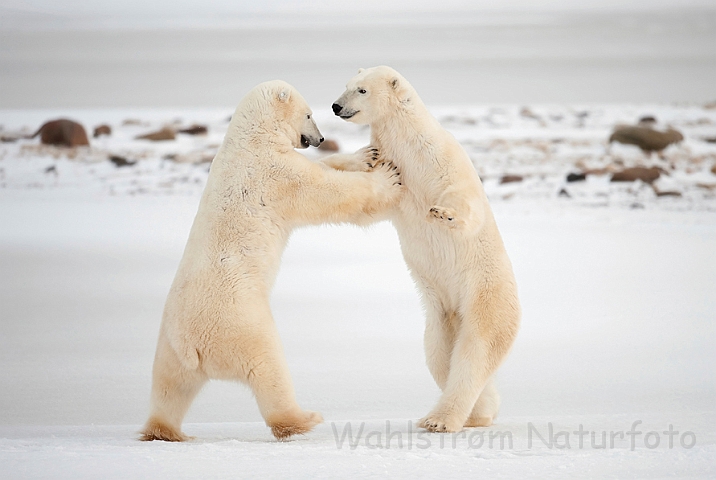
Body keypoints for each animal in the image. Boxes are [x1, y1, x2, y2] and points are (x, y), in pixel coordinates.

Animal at [137, 79, 400, 442]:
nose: (319, 139)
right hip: (243, 325)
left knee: (169, 388)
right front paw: (386, 177)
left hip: (169, 347)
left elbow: (323, 167)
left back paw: (163, 430)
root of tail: (195, 348)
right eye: (309, 114)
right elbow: (325, 190)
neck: (251, 137)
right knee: (269, 370)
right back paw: (304, 419)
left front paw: (365, 155)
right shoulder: (274, 173)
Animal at [330, 65, 520, 434]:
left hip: (484, 293)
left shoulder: (441, 156)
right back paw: (477, 413)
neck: (408, 145)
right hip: (440, 313)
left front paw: (443, 213)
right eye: (346, 85)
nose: (335, 106)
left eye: (361, 90)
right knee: (440, 356)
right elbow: (369, 205)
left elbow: (463, 196)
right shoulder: (399, 178)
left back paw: (442, 420)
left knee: (477, 349)